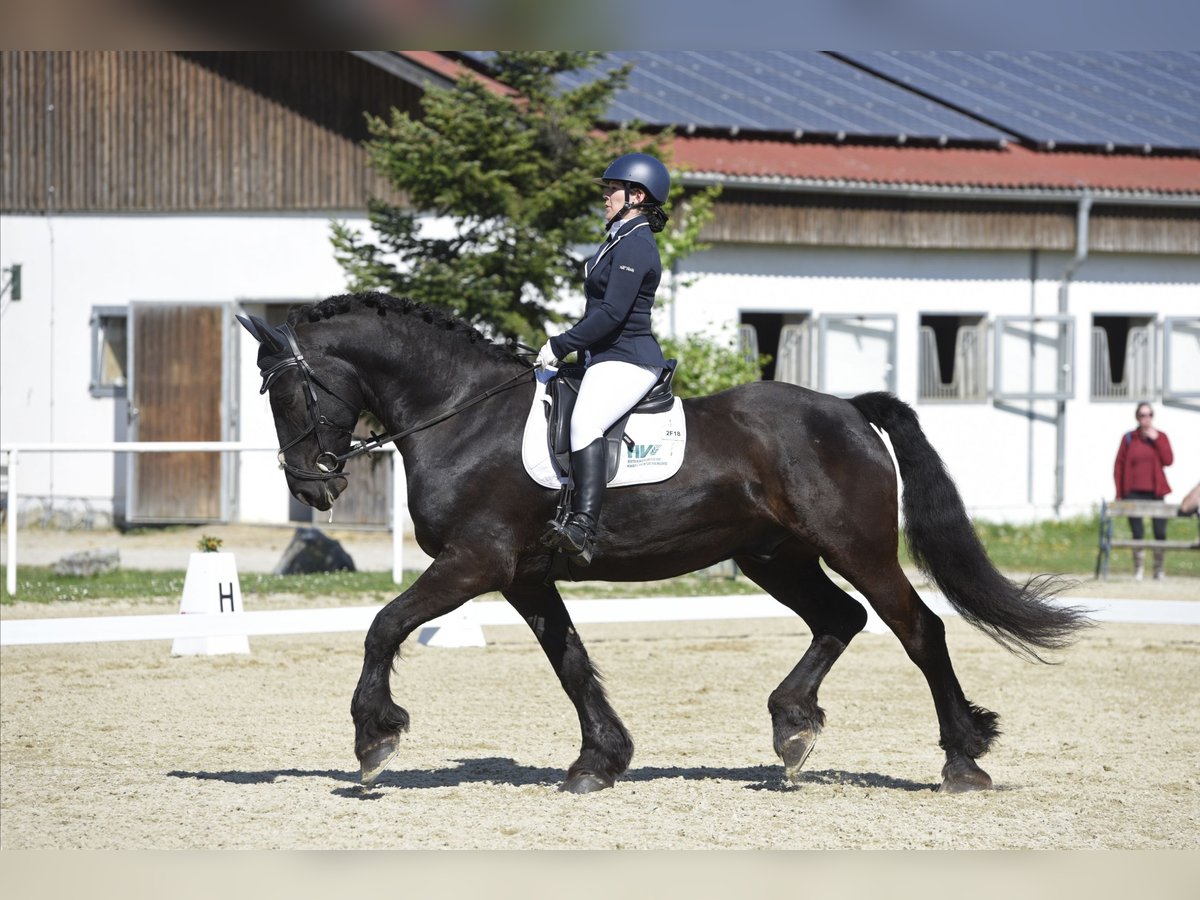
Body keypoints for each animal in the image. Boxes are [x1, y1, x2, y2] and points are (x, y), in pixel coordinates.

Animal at [238, 291, 1088, 795]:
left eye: (285, 391)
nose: (311, 487)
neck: (463, 414)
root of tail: (848, 408)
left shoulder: (476, 561)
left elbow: (384, 625)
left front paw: (374, 740)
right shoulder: (522, 575)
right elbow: (570, 660)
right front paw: (599, 761)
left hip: (859, 549)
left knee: (918, 629)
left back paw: (962, 758)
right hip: (774, 556)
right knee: (839, 620)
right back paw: (792, 728)